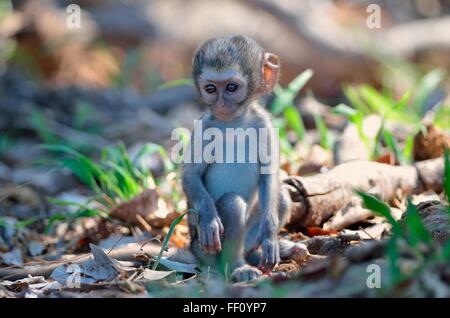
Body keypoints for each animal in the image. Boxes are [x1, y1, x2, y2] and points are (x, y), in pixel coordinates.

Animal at [181, 34, 294, 282]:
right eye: (211, 88)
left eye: (231, 87)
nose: (221, 104)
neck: (234, 123)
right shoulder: (204, 126)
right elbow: (191, 175)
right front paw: (209, 219)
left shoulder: (264, 123)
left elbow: (269, 176)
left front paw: (270, 236)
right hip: (203, 250)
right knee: (232, 204)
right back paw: (236, 266)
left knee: (281, 197)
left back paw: (255, 255)